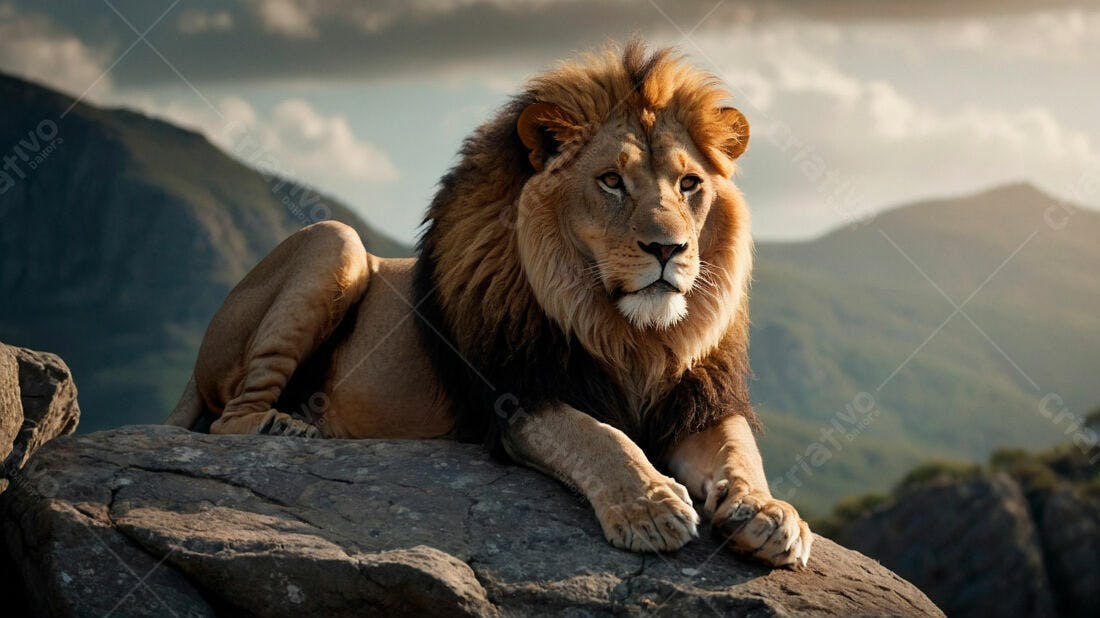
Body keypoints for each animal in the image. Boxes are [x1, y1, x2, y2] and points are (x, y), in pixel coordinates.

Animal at [166, 42, 812, 568]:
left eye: (688, 184)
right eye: (611, 181)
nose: (668, 248)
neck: (627, 332)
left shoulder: (698, 401)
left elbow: (740, 452)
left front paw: (769, 514)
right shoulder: (514, 395)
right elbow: (599, 437)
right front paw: (649, 507)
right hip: (335, 241)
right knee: (227, 419)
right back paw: (285, 426)